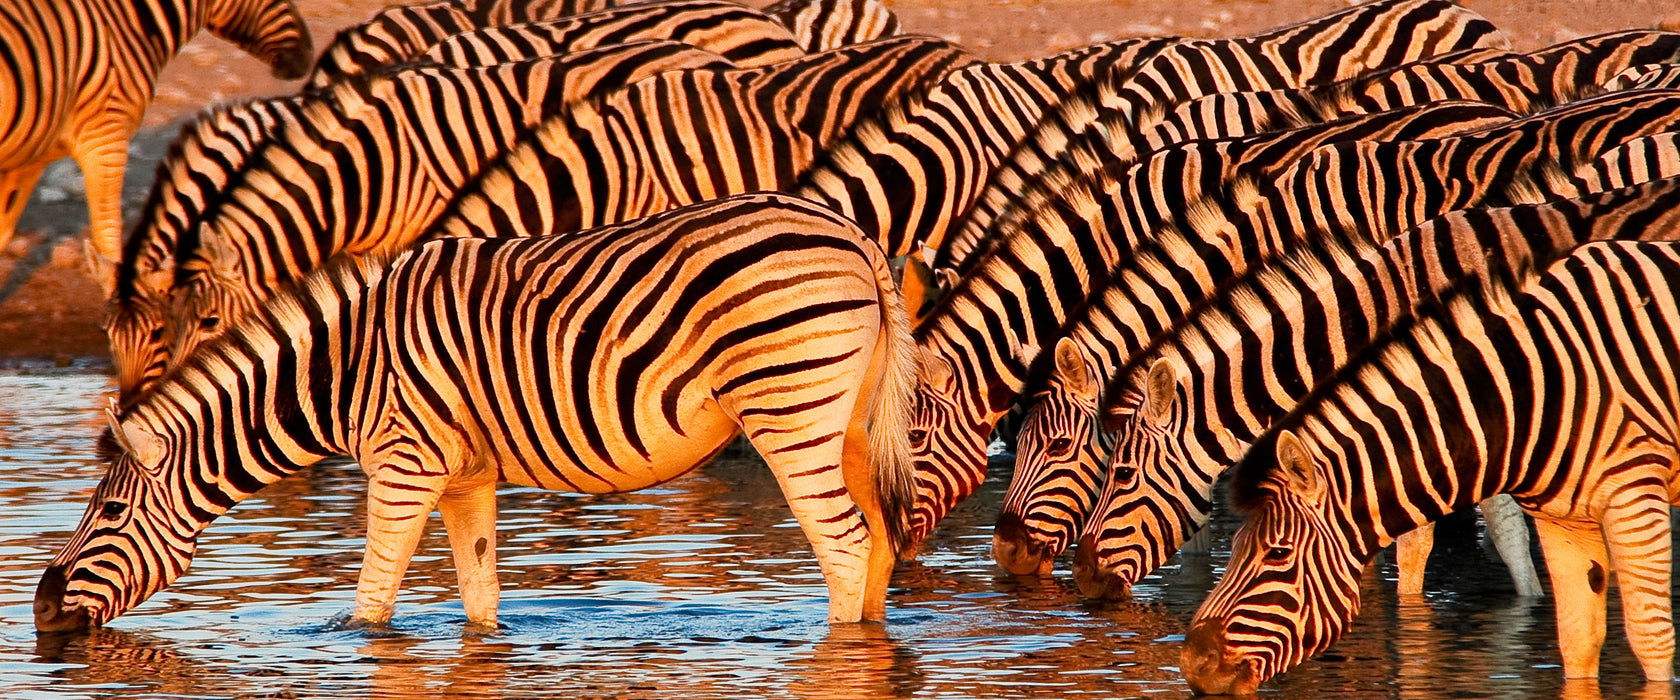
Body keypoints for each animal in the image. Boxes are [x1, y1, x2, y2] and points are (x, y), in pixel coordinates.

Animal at [0, 0, 314, 292]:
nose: (309, 54)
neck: (131, 24)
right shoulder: (106, 136)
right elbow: (108, 239)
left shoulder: (33, 155)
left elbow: (5, 229)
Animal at [32, 189, 913, 627]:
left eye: (110, 514)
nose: (38, 610)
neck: (342, 373)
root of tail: (854, 235)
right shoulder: (465, 477)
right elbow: (480, 599)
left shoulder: (402, 464)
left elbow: (372, 604)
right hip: (850, 424)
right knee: (878, 547)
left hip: (788, 410)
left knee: (842, 549)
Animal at [1182, 223, 1680, 688]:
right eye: (1236, 547)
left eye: (1278, 554)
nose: (1191, 663)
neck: (1524, 391)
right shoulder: (1564, 522)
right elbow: (1577, 639)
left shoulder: (1634, 497)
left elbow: (1650, 637)